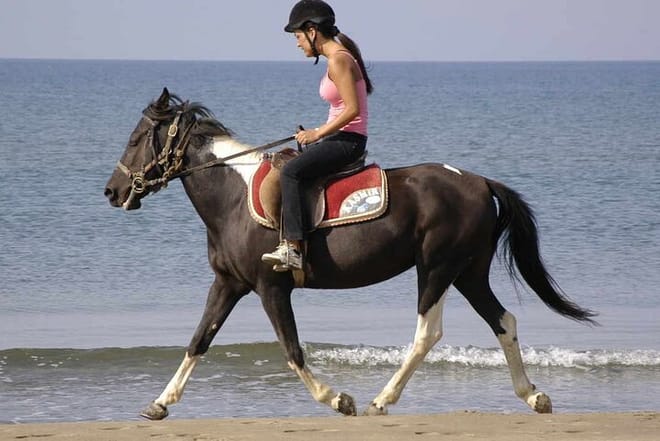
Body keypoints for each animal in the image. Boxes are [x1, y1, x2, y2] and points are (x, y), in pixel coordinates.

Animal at [104, 88, 596, 420]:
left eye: (137, 137)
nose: (112, 191)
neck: (233, 197)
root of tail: (478, 182)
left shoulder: (270, 287)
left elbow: (292, 349)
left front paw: (338, 398)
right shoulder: (228, 284)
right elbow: (198, 340)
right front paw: (160, 403)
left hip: (437, 268)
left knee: (428, 333)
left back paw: (382, 399)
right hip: (468, 272)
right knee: (503, 322)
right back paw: (532, 394)